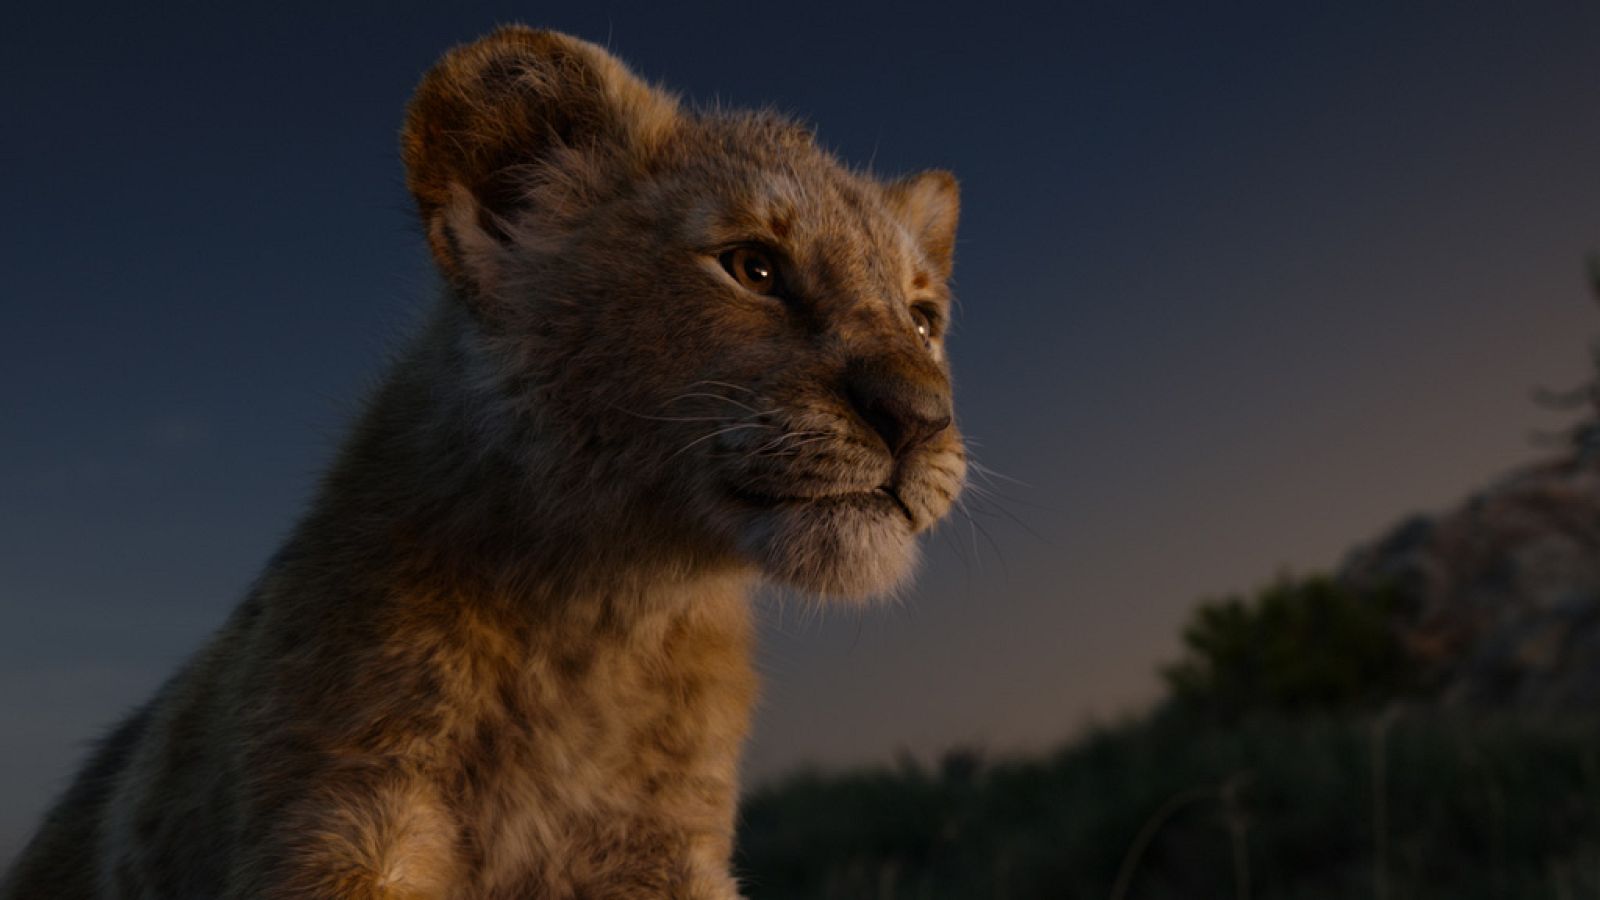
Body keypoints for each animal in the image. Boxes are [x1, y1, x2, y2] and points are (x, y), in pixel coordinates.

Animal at [2, 25, 964, 899]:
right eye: (754, 268)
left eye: (924, 319)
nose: (921, 417)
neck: (606, 618)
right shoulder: (342, 810)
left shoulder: (662, 847)